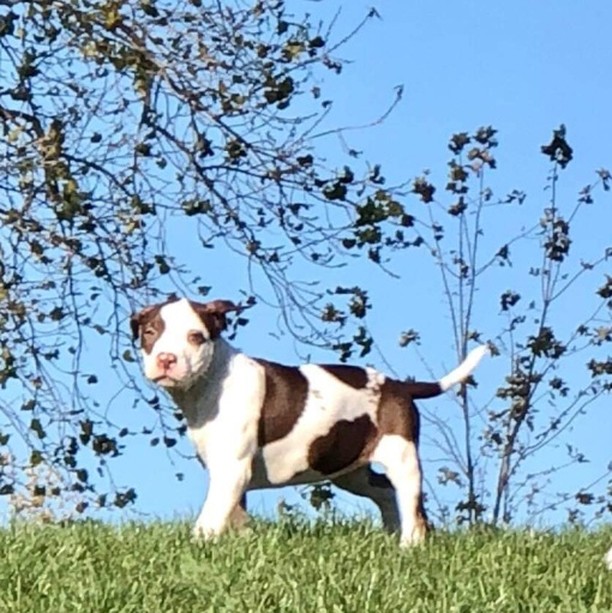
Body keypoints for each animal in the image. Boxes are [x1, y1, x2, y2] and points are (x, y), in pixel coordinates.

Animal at [130, 296, 488, 544]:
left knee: (411, 504)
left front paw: (197, 544)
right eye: (150, 332)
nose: (166, 359)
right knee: (385, 491)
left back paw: (408, 544)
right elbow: (234, 513)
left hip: (402, 456)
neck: (210, 383)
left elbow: (211, 515)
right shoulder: (228, 471)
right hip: (350, 468)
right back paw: (390, 535)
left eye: (196, 337)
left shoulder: (231, 468)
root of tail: (399, 385)